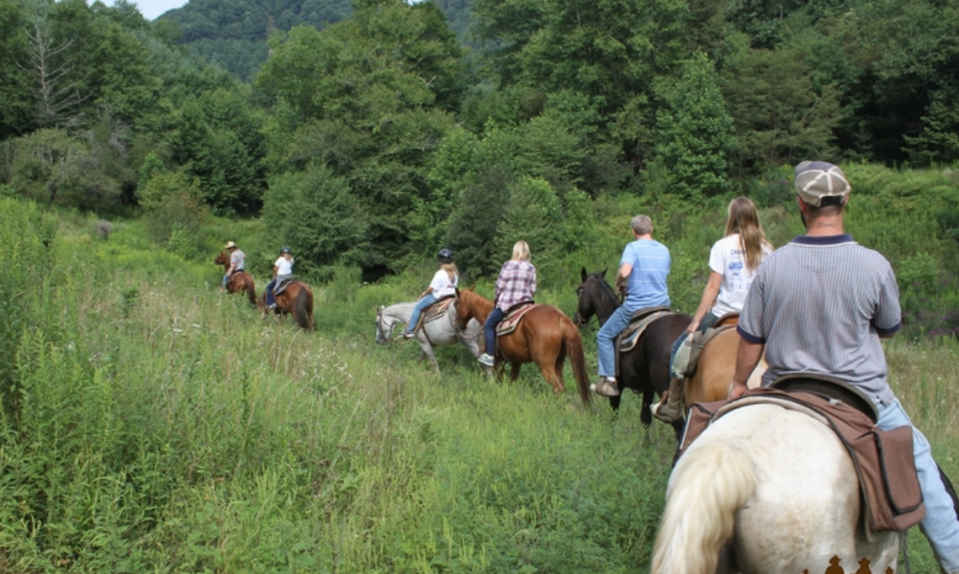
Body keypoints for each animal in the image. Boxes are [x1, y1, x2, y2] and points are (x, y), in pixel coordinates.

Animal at [456, 290, 592, 408]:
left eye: (456, 305)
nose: (459, 326)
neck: (486, 316)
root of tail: (560, 317)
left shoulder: (496, 360)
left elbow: (493, 378)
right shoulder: (516, 362)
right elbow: (510, 382)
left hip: (545, 365)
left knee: (557, 388)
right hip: (559, 362)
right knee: (562, 387)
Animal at [576, 270, 688, 440]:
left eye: (579, 291)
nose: (577, 319)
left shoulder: (618, 387)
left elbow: (613, 415)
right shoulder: (648, 388)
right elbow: (645, 418)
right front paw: (645, 446)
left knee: (679, 426)